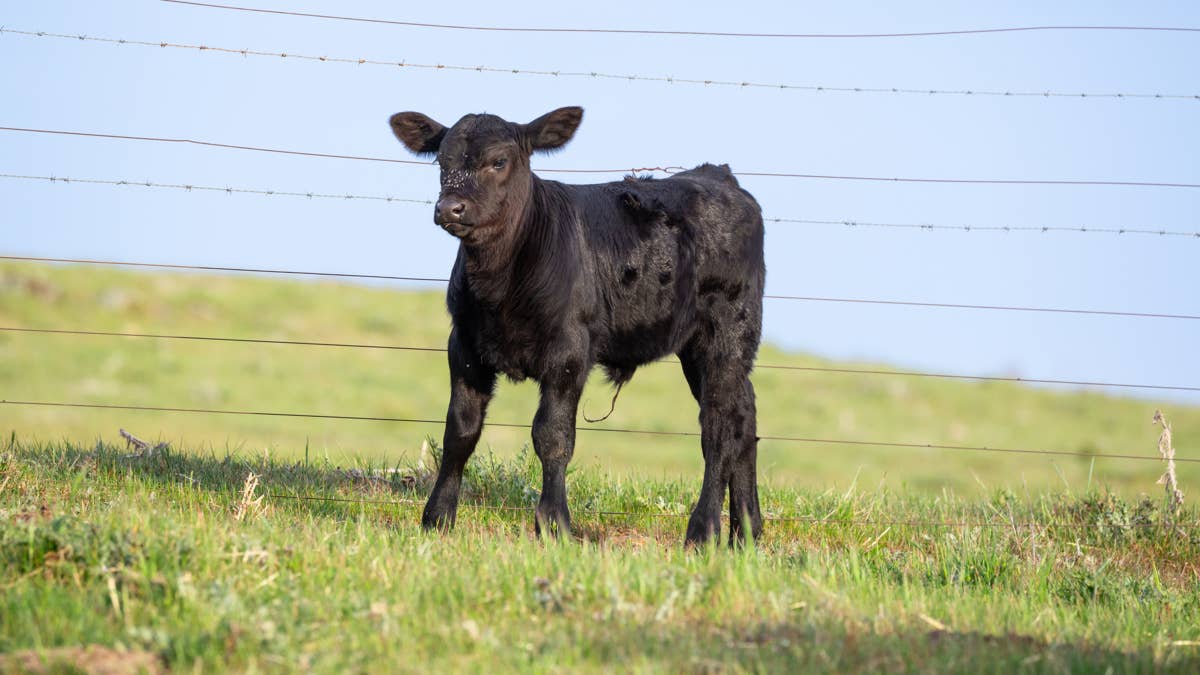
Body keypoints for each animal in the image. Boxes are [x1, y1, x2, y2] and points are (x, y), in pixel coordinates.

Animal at [388, 106, 765, 546]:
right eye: (441, 161)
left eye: (499, 161)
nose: (450, 207)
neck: (500, 288)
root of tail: (717, 175)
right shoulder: (464, 346)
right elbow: (460, 431)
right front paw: (437, 518)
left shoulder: (568, 352)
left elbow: (552, 436)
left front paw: (553, 524)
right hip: (699, 347)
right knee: (743, 412)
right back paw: (746, 531)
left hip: (727, 331)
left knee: (720, 426)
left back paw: (704, 531)